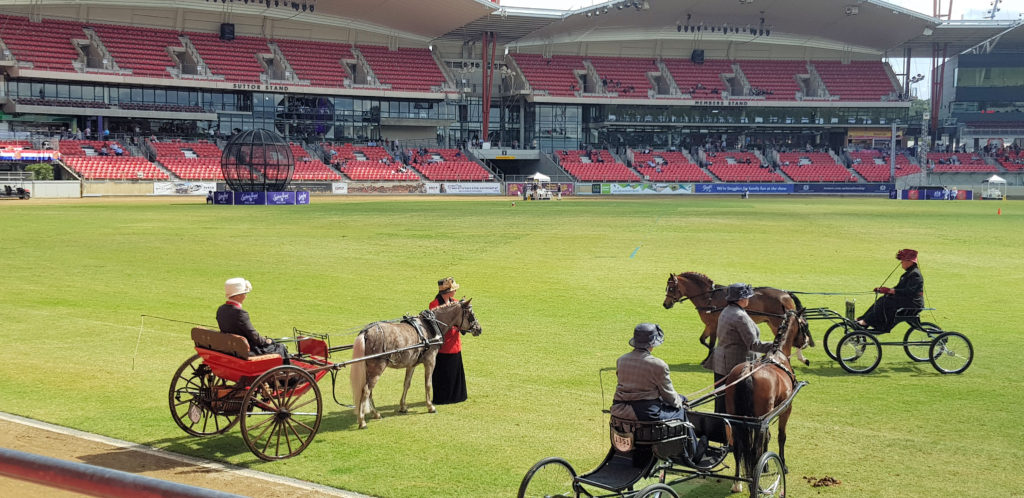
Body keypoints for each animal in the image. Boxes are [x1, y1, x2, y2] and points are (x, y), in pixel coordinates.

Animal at [350, 299, 481, 428]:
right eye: (471, 314)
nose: (479, 329)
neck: (429, 326)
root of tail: (366, 332)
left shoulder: (411, 364)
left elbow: (406, 384)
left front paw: (403, 406)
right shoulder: (430, 361)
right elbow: (428, 384)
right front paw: (430, 406)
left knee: (369, 390)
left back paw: (375, 413)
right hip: (377, 367)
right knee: (366, 390)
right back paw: (362, 421)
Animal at [663, 272, 815, 364]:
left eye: (671, 288)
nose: (665, 304)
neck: (709, 297)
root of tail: (786, 294)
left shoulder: (713, 325)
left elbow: (711, 344)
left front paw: (708, 359)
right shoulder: (709, 325)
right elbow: (702, 340)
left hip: (778, 322)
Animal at [724, 307, 802, 493]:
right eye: (804, 324)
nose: (806, 341)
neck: (778, 357)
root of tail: (748, 371)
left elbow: (767, 437)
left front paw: (765, 467)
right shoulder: (786, 409)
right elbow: (781, 436)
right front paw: (782, 465)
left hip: (736, 418)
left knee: (738, 447)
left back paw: (737, 482)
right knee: (754, 448)